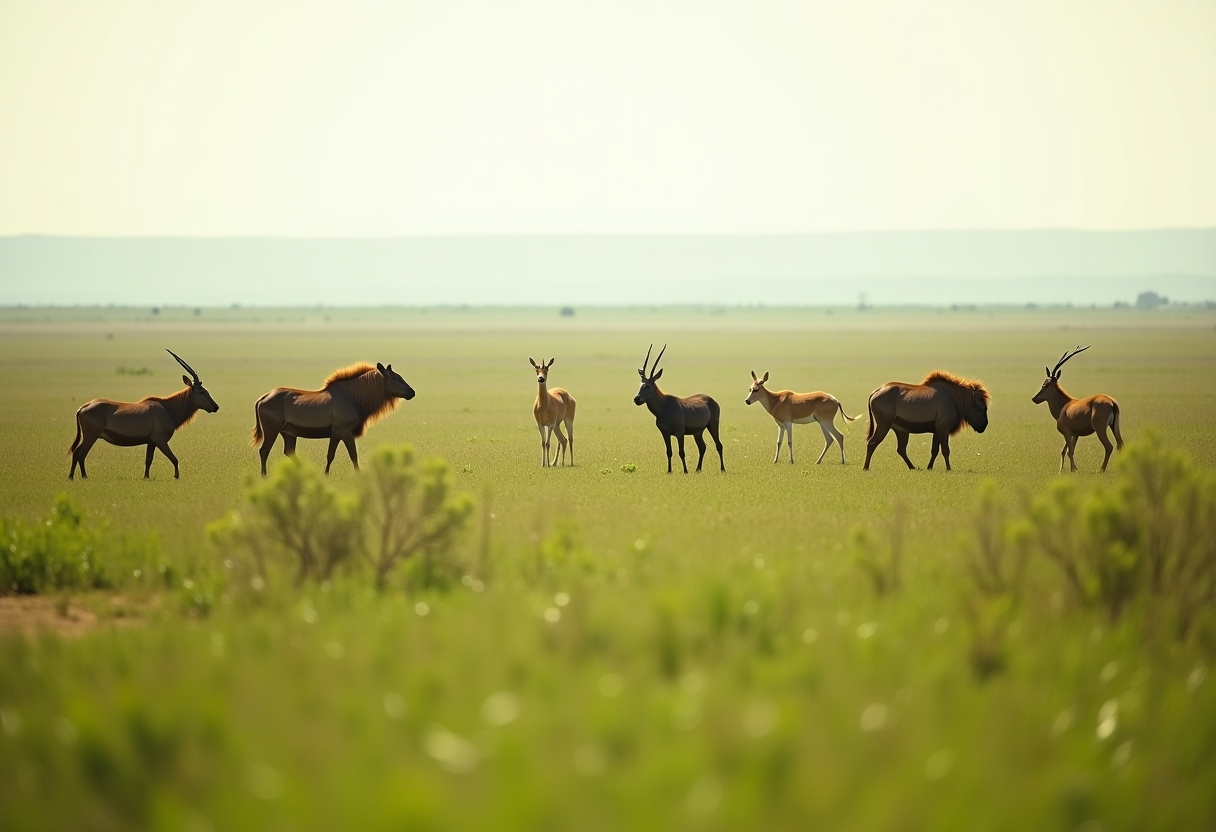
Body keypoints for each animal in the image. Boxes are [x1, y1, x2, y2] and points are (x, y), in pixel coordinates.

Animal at [66, 350, 220, 481]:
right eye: (201, 392)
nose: (215, 407)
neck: (167, 408)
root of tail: (82, 408)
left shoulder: (151, 441)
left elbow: (148, 460)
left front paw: (146, 477)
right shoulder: (160, 439)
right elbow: (174, 458)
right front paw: (176, 476)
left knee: (79, 453)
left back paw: (79, 477)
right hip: (91, 436)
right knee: (79, 453)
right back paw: (76, 477)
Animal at [249, 362, 415, 474]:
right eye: (396, 377)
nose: (412, 392)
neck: (356, 399)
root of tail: (261, 399)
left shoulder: (339, 432)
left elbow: (340, 455)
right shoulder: (342, 430)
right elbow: (345, 455)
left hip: (288, 432)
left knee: (289, 451)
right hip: (272, 429)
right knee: (264, 450)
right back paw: (264, 476)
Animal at [632, 345, 724, 474]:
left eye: (648, 386)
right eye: (640, 385)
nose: (637, 399)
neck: (664, 407)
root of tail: (712, 400)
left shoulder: (679, 432)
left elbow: (681, 452)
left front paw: (685, 471)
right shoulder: (665, 433)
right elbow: (669, 452)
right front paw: (669, 471)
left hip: (713, 425)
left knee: (719, 445)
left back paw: (722, 469)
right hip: (698, 432)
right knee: (702, 447)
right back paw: (697, 469)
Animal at [1031, 345, 1123, 474]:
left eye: (1046, 385)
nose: (1035, 398)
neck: (1065, 405)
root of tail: (1112, 402)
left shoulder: (1066, 432)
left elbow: (1069, 451)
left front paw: (1073, 470)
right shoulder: (1075, 434)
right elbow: (1068, 451)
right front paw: (1070, 469)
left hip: (1100, 429)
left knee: (1109, 446)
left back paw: (1101, 470)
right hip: (1114, 427)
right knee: (1120, 443)